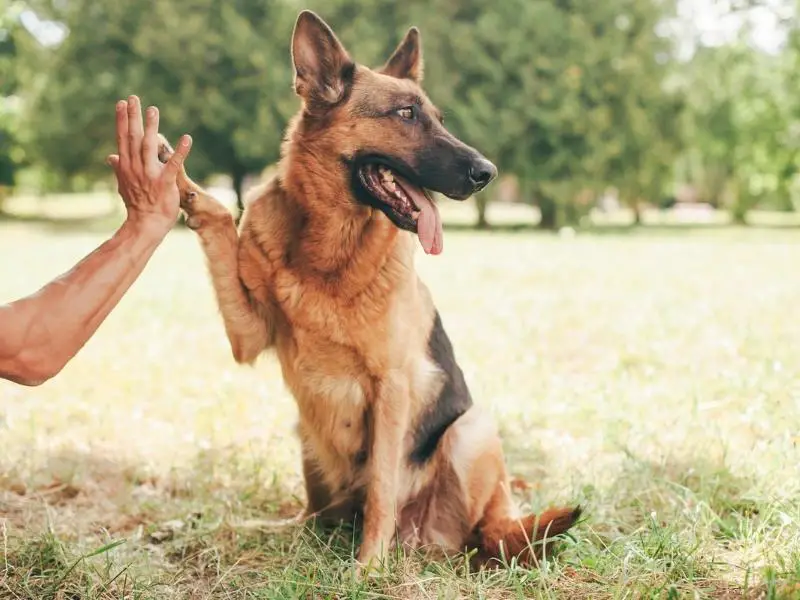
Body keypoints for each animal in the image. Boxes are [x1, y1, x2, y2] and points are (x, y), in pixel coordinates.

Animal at [158, 10, 580, 572]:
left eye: (437, 117)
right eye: (405, 114)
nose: (487, 173)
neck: (328, 251)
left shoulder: (391, 386)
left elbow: (382, 484)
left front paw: (368, 569)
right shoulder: (247, 336)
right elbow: (219, 217)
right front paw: (177, 178)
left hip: (471, 430)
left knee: (475, 535)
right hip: (306, 437)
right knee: (314, 516)